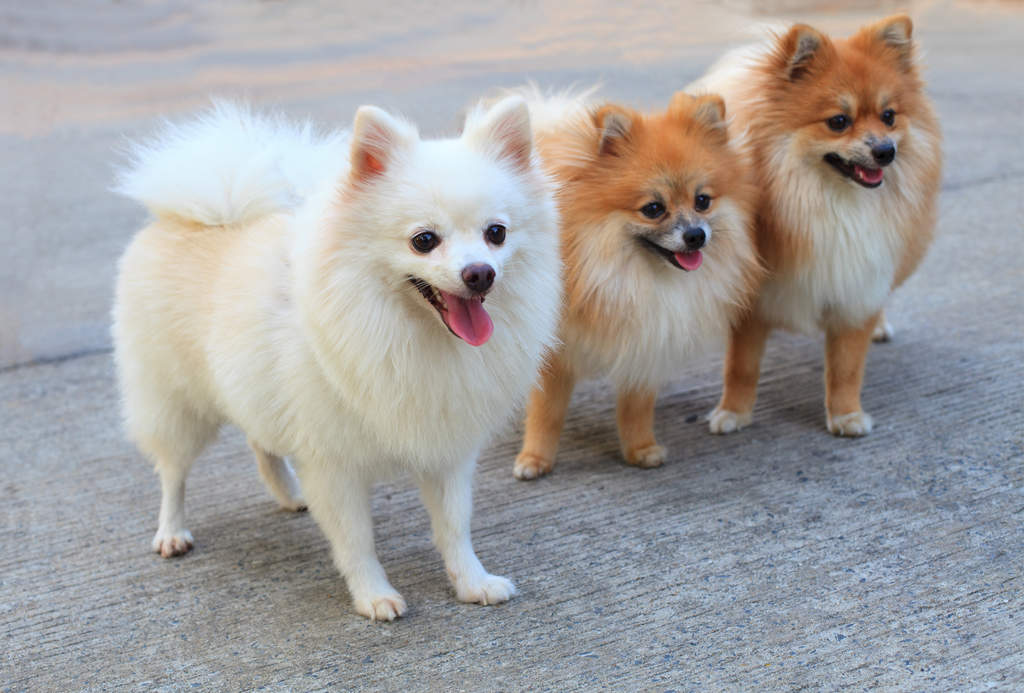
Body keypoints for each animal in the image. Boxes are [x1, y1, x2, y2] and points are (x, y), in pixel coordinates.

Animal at [112, 95, 561, 618]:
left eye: (496, 233)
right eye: (423, 240)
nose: (480, 273)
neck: (406, 332)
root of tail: (208, 212)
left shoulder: (445, 448)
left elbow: (454, 527)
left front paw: (472, 582)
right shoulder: (334, 463)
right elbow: (355, 540)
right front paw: (373, 596)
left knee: (260, 444)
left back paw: (288, 494)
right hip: (175, 403)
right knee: (172, 472)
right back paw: (172, 531)